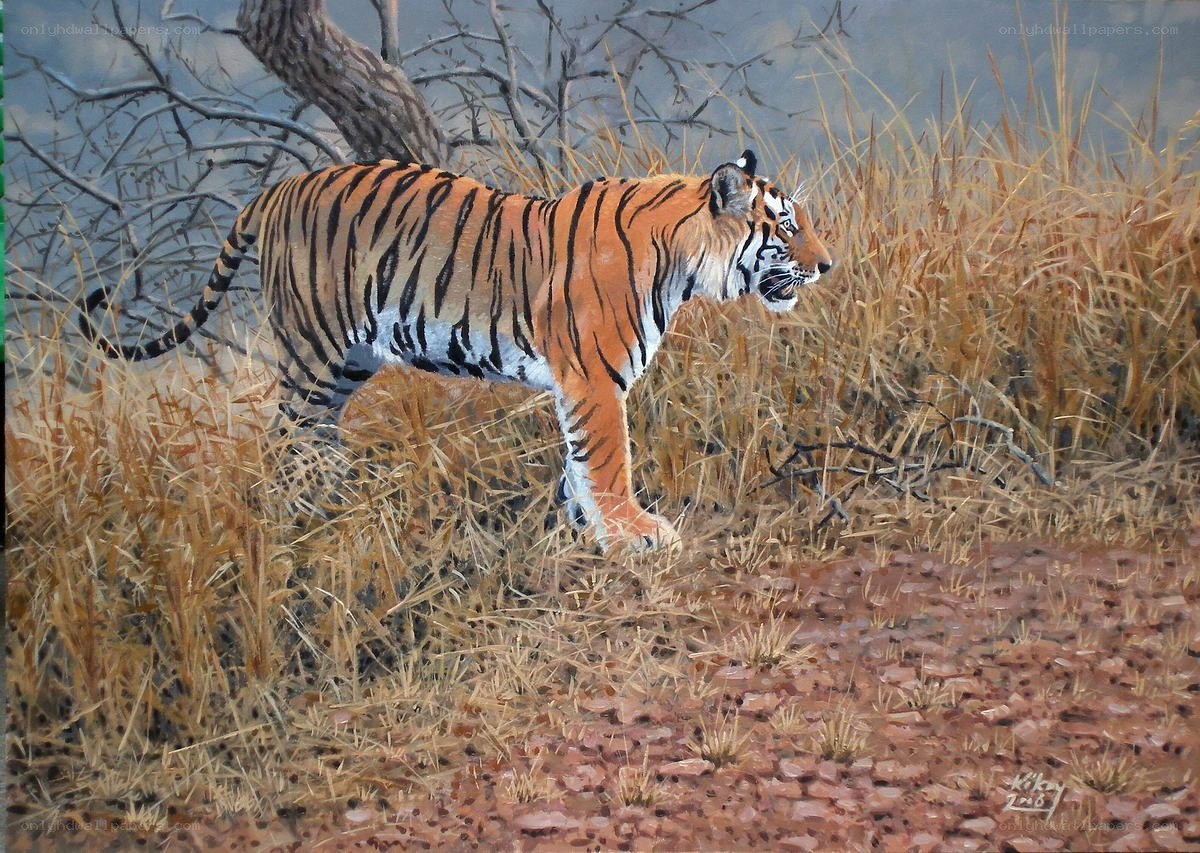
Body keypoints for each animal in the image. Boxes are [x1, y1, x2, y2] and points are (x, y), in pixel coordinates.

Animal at [80, 150, 834, 552]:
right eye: (785, 226)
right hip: (313, 351)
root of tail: (278, 187)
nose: (827, 265)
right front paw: (635, 533)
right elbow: (608, 459)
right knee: (284, 441)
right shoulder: (594, 378)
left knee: (313, 436)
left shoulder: (580, 384)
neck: (683, 262)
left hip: (347, 362)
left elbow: (580, 464)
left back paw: (338, 501)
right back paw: (306, 520)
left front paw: (585, 532)